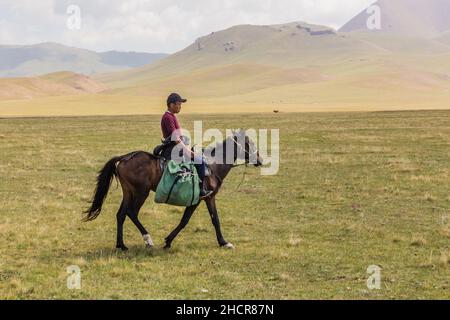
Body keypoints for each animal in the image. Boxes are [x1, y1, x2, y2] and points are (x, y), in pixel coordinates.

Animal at [83, 129, 264, 251]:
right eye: (249, 144)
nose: (260, 160)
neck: (213, 165)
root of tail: (125, 157)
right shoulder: (202, 198)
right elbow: (194, 220)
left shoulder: (204, 199)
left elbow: (205, 220)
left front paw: (222, 242)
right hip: (141, 193)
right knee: (131, 212)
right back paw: (148, 240)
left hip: (128, 192)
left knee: (121, 214)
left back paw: (121, 245)